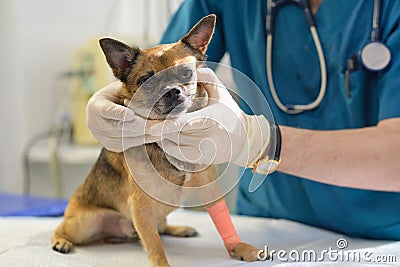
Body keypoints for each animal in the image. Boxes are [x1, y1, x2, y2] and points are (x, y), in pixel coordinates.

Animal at [51, 15, 260, 267]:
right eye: (146, 81)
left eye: (186, 73)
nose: (172, 91)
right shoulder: (141, 206)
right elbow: (154, 245)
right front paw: (161, 263)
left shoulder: (209, 188)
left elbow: (223, 220)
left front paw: (239, 247)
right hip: (84, 223)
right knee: (61, 228)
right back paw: (60, 241)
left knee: (160, 228)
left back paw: (179, 229)